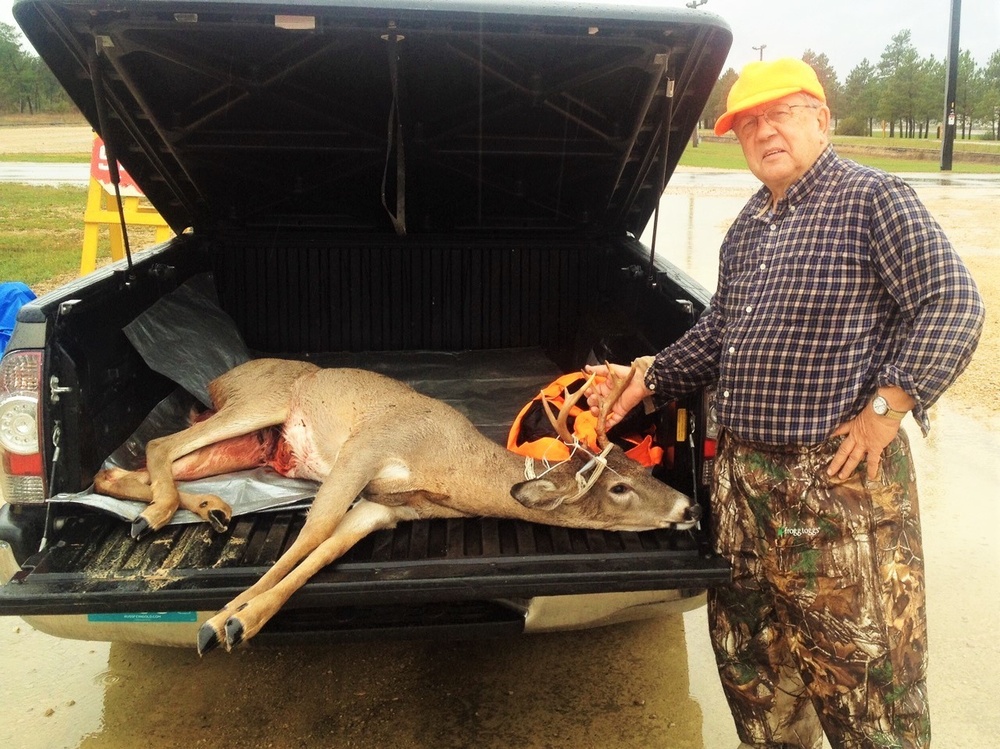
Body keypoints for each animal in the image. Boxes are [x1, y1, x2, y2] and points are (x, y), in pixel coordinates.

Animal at [95, 356, 704, 648]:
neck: (449, 468)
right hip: (259, 404)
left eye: (639, 467)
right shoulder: (368, 447)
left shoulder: (383, 509)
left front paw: (242, 618)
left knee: (121, 472)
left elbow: (324, 551)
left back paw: (201, 510)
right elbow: (313, 533)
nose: (690, 508)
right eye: (619, 487)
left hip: (252, 446)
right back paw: (163, 516)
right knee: (158, 444)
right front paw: (224, 620)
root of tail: (221, 377)